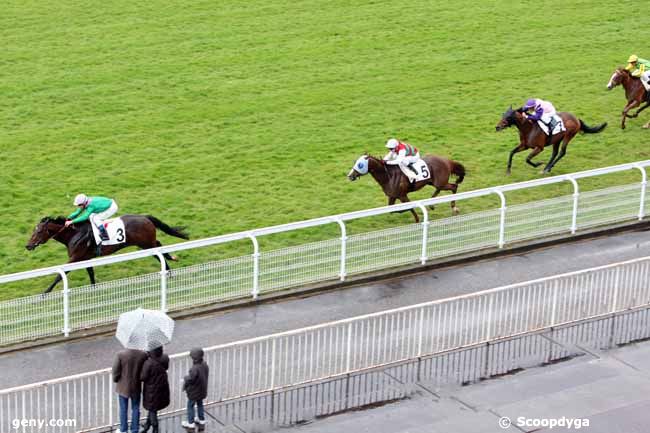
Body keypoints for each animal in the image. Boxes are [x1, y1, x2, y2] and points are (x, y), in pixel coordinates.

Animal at [26, 213, 189, 292]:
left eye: (39, 231)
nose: (28, 246)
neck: (74, 234)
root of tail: (145, 217)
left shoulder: (75, 258)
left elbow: (60, 275)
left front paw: (45, 293)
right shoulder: (85, 258)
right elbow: (90, 272)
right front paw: (93, 289)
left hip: (145, 244)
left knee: (158, 252)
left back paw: (169, 268)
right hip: (146, 243)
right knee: (159, 246)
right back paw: (170, 264)